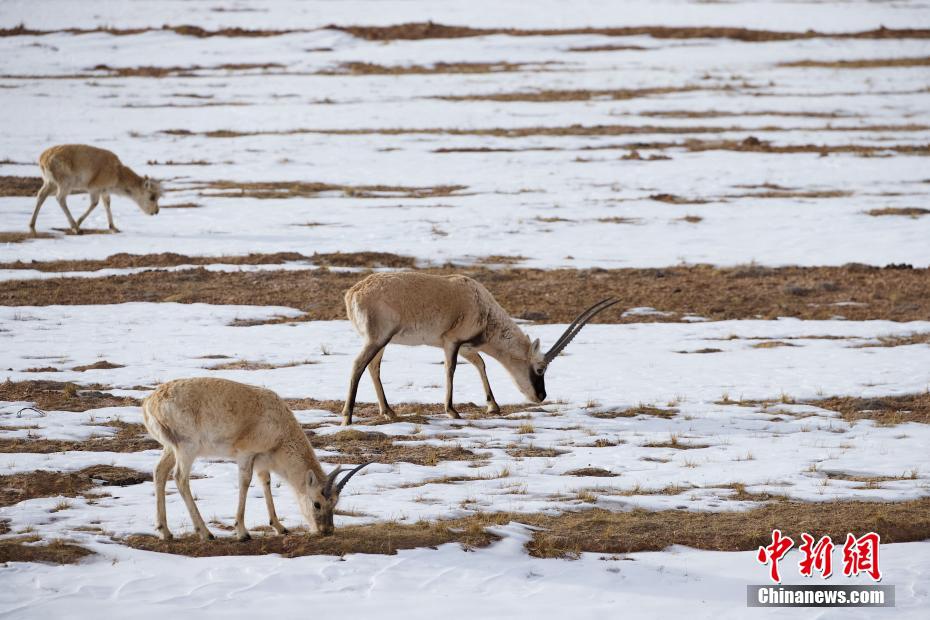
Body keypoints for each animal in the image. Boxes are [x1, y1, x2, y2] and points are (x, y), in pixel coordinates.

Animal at [29, 143, 161, 235]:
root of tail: (43, 159)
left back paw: (31, 225)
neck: (118, 174)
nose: (156, 211)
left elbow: (107, 204)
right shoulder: (94, 189)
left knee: (41, 195)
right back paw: (76, 227)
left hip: (50, 183)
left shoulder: (104, 191)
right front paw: (78, 223)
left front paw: (114, 227)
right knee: (60, 198)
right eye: (152, 197)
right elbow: (94, 203)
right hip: (65, 183)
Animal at [141, 376, 366, 540]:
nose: (326, 531)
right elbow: (245, 482)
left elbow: (265, 482)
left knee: (159, 471)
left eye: (334, 503)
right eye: (317, 503)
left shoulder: (261, 460)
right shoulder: (245, 454)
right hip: (187, 448)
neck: (280, 426)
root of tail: (149, 403)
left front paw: (279, 527)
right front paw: (242, 532)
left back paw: (165, 531)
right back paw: (205, 532)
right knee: (180, 477)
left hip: (171, 448)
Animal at [338, 272, 616, 424]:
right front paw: (452, 411)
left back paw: (388, 412)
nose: (541, 396)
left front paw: (493, 405)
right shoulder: (451, 342)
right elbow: (451, 370)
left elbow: (480, 363)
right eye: (540, 369)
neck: (483, 305)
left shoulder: (463, 346)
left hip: (381, 342)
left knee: (373, 367)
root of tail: (353, 293)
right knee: (358, 365)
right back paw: (347, 416)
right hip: (377, 339)